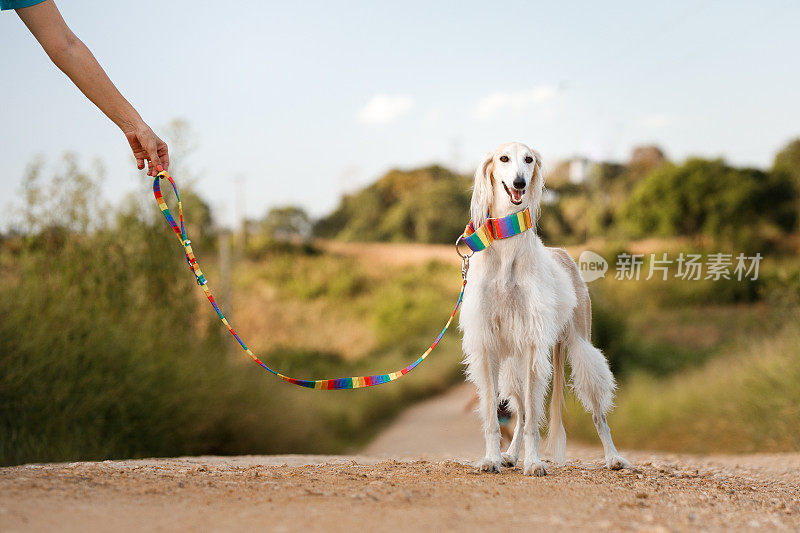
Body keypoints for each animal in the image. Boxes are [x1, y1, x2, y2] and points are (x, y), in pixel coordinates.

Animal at [460, 140, 628, 474]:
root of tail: (563, 253)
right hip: (513, 364)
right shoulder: (486, 345)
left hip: (579, 343)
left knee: (597, 413)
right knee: (522, 412)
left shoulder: (532, 342)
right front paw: (492, 458)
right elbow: (494, 417)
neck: (507, 248)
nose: (519, 183)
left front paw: (535, 462)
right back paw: (511, 454)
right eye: (503, 158)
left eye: (529, 159)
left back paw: (613, 456)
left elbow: (532, 422)